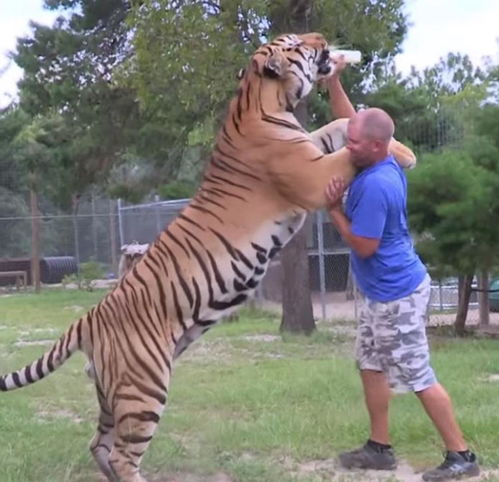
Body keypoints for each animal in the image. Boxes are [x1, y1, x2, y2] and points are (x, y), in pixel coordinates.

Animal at [0, 32, 416, 480]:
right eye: (295, 43)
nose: (322, 38)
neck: (261, 100)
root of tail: (88, 318)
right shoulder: (314, 175)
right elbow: (350, 151)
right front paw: (394, 149)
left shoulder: (311, 146)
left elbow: (340, 126)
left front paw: (402, 151)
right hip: (144, 386)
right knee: (123, 454)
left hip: (112, 394)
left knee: (99, 443)